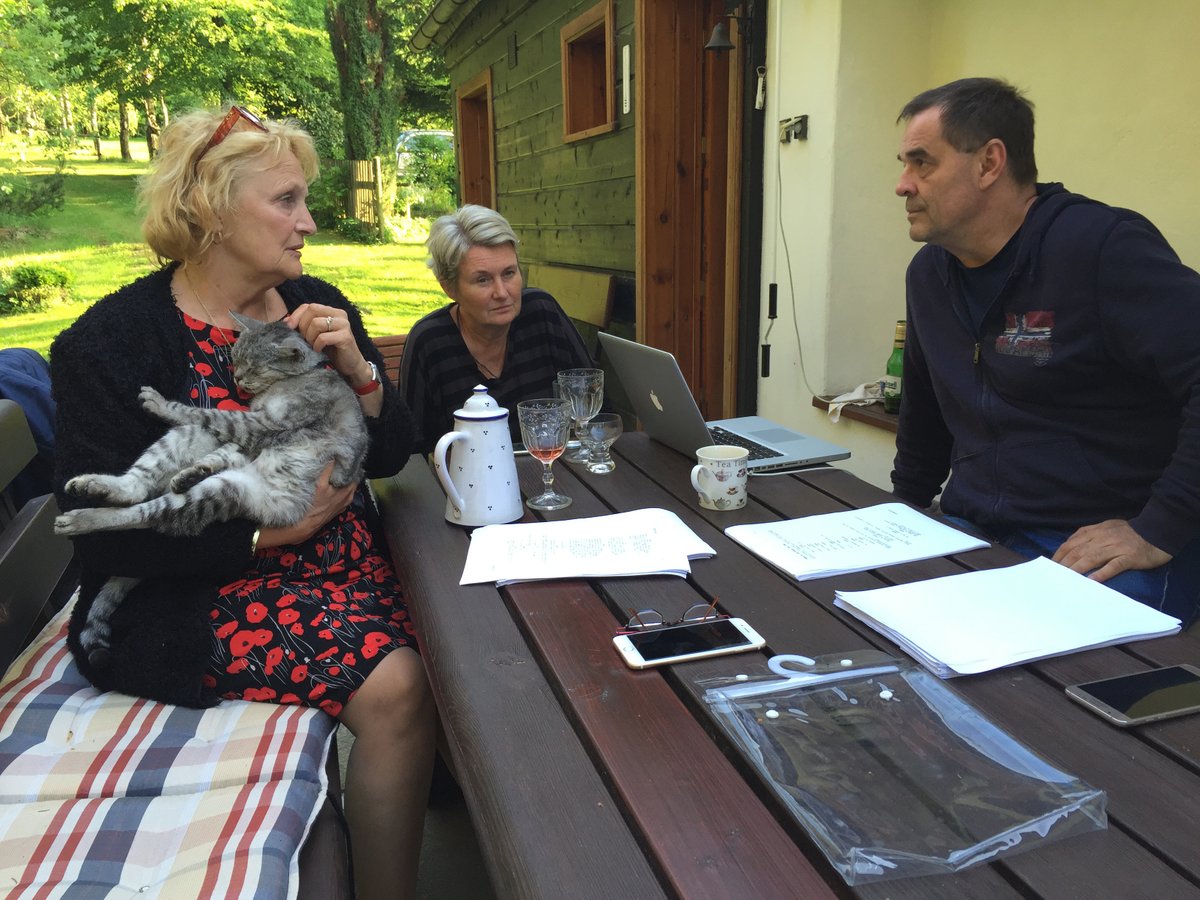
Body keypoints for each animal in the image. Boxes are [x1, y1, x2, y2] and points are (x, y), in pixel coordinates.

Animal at [52, 312, 369, 672]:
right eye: (235, 360)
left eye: (253, 367)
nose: (238, 378)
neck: (303, 376)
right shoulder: (251, 433)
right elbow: (222, 444)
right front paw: (197, 468)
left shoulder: (265, 426)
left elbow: (206, 413)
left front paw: (162, 405)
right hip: (187, 441)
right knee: (138, 489)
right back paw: (112, 484)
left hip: (220, 492)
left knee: (145, 514)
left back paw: (80, 518)